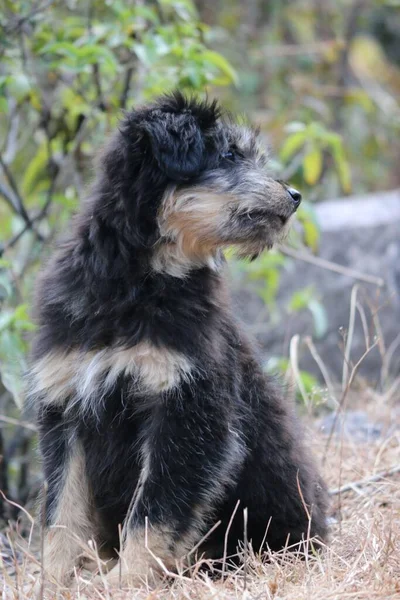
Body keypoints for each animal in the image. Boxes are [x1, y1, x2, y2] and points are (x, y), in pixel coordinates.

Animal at [27, 91, 328, 588]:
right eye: (229, 155)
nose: (295, 196)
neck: (139, 281)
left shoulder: (188, 409)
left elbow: (153, 511)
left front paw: (126, 583)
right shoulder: (65, 402)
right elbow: (61, 512)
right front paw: (54, 582)